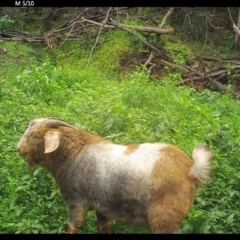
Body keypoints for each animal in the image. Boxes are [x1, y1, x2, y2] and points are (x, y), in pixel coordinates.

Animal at [16, 117, 214, 233]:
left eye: (37, 136)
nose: (19, 149)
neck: (74, 153)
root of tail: (191, 170)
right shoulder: (101, 208)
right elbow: (104, 227)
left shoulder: (77, 202)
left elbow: (73, 227)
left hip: (165, 220)